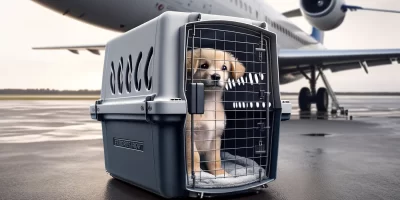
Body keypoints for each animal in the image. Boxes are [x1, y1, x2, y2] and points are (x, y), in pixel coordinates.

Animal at [185, 48, 247, 177]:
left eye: (224, 67)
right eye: (204, 65)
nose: (216, 76)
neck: (208, 102)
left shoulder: (215, 137)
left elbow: (215, 159)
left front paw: (219, 173)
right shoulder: (189, 135)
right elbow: (194, 157)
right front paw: (196, 173)